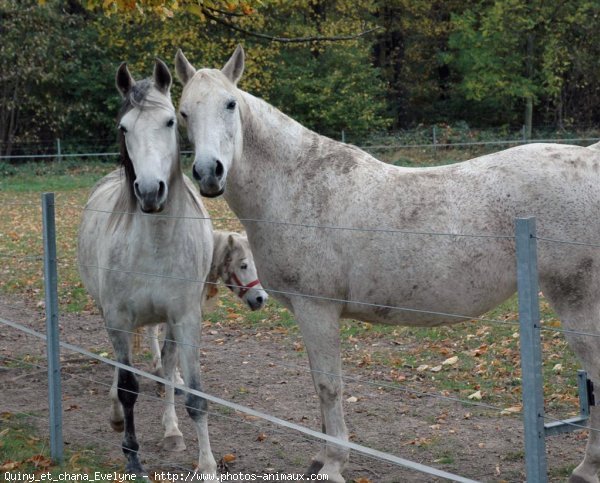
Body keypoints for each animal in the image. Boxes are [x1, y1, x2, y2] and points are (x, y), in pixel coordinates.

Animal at [78, 59, 216, 476]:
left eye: (171, 121)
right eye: (124, 128)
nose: (151, 191)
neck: (155, 242)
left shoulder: (185, 317)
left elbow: (194, 394)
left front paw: (207, 465)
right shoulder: (118, 318)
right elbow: (127, 388)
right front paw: (132, 455)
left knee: (167, 366)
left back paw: (171, 430)